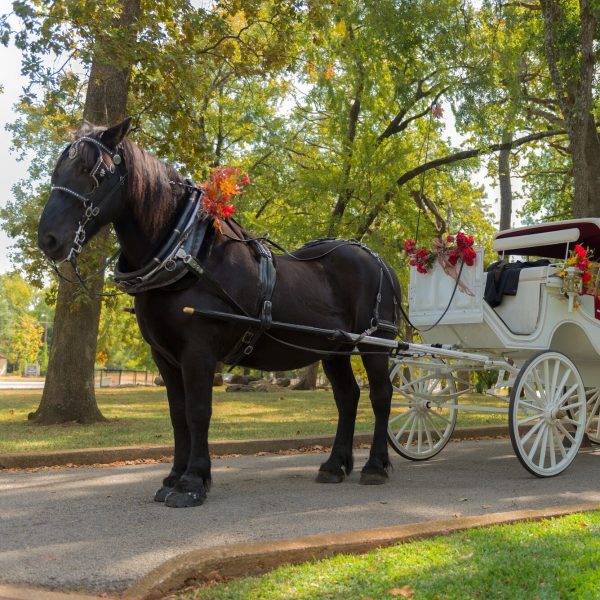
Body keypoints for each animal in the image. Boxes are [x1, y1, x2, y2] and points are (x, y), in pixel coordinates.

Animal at [38, 117, 404, 506]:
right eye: (57, 169)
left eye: (93, 171)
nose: (48, 238)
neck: (189, 255)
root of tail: (377, 259)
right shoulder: (164, 356)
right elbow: (178, 414)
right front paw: (173, 476)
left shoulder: (198, 351)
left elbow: (198, 411)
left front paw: (192, 482)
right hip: (333, 348)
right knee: (348, 398)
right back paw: (335, 465)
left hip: (375, 343)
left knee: (381, 396)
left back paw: (375, 466)